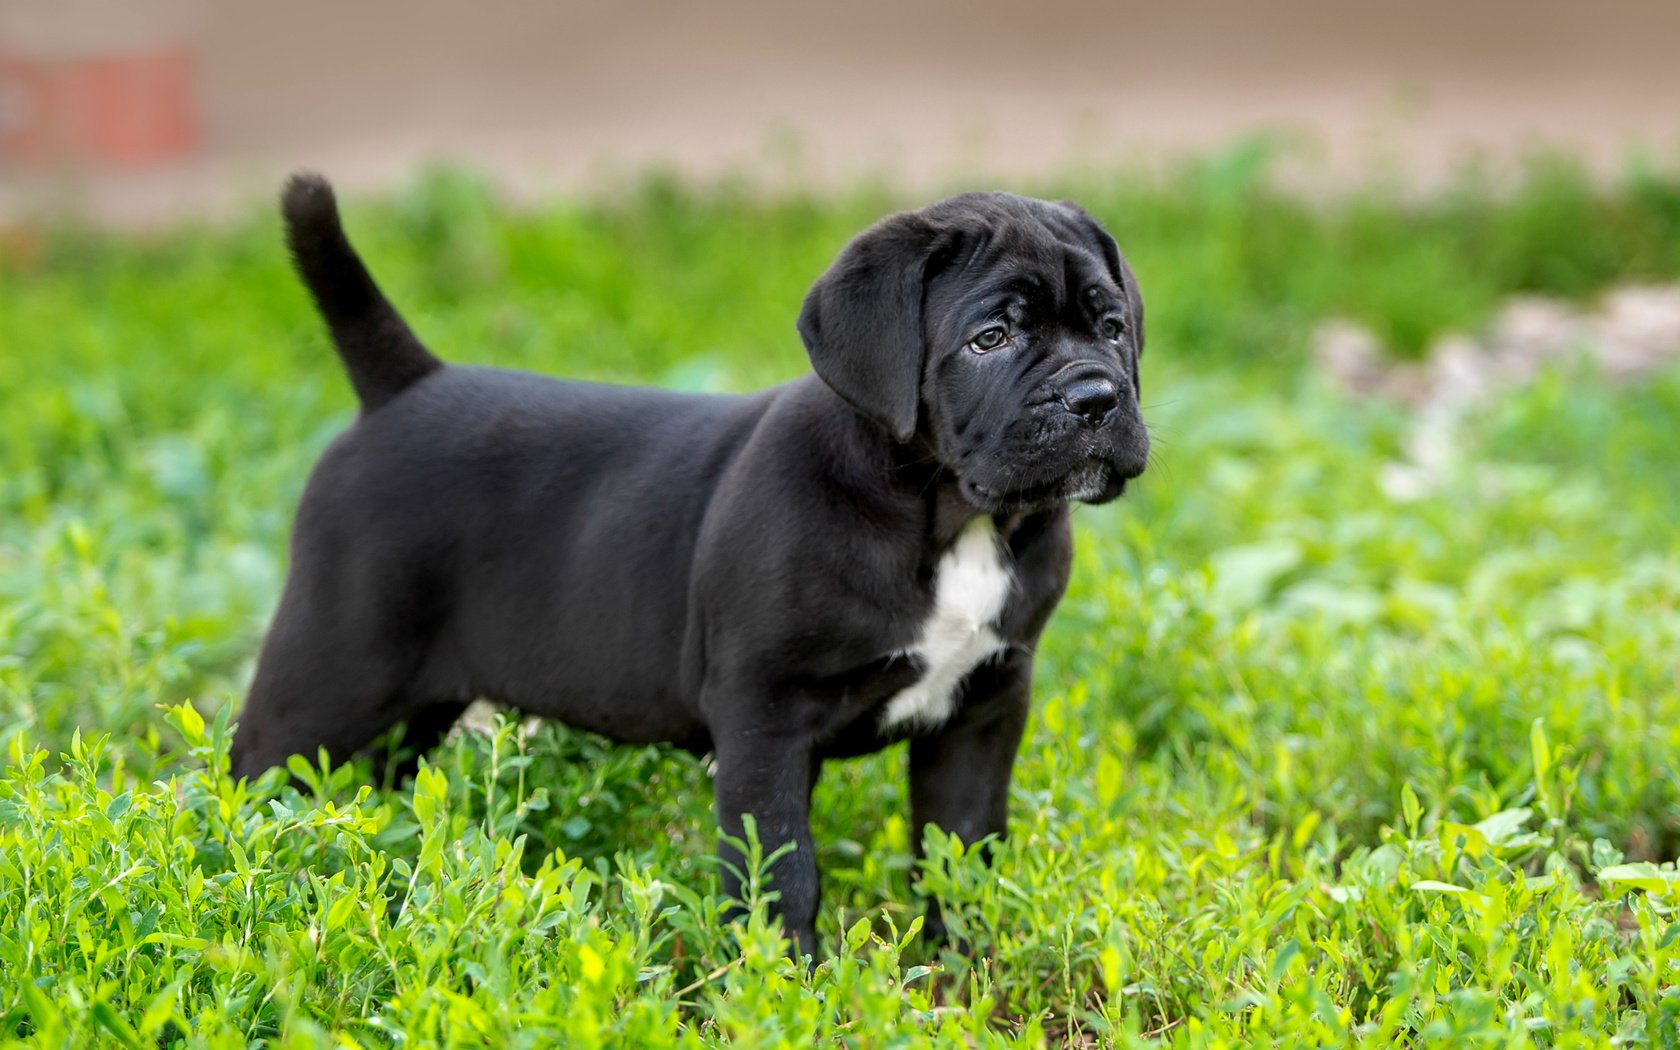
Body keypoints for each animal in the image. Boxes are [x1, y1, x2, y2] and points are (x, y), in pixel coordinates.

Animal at [233, 173, 1155, 960]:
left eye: (1112, 328)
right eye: (990, 338)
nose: (1097, 397)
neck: (954, 517)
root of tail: (402, 389)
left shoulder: (982, 708)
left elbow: (961, 852)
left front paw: (960, 974)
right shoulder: (768, 717)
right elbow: (781, 870)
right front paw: (787, 984)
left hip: (417, 699)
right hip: (331, 671)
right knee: (253, 776)